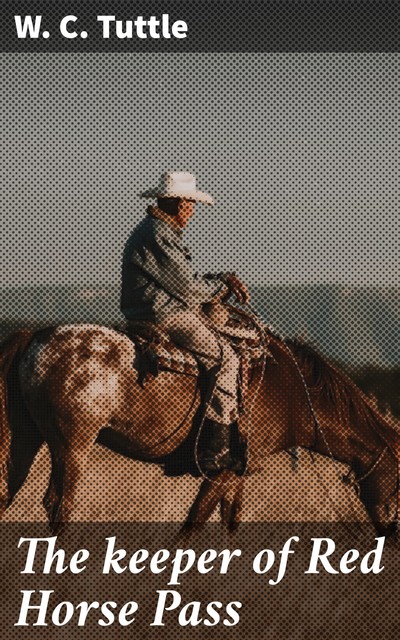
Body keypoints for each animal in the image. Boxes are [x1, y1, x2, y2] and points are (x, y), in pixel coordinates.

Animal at [0, 320, 400, 536]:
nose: (393, 536)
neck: (292, 393)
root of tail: (35, 336)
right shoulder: (220, 472)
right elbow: (192, 525)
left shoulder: (238, 472)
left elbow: (229, 523)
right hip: (72, 445)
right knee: (59, 504)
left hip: (25, 440)